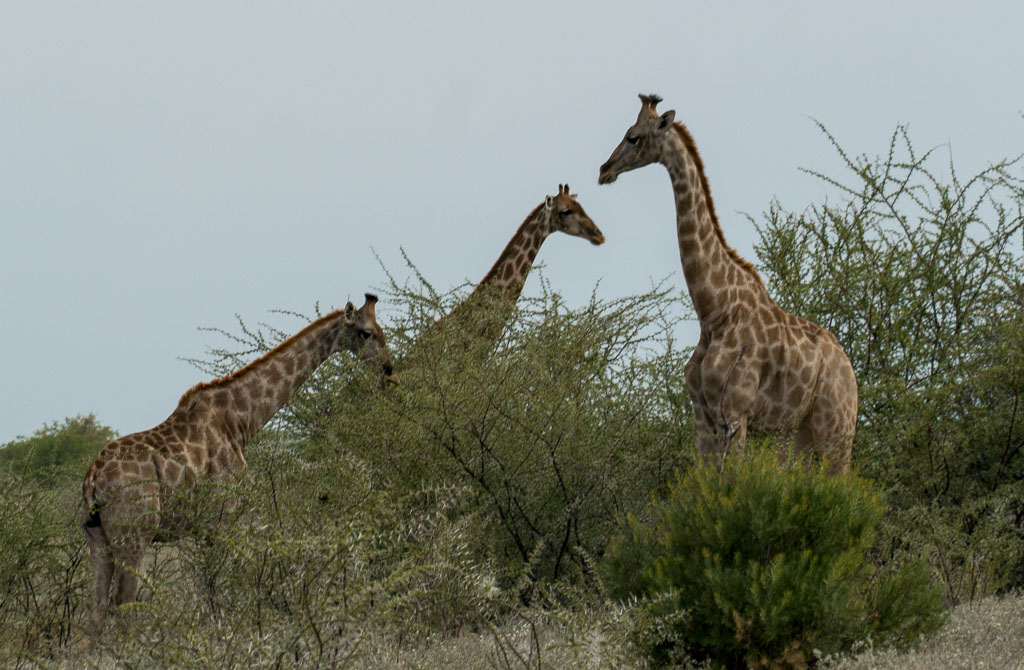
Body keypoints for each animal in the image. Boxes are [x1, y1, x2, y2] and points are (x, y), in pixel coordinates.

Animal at [80, 295, 395, 639]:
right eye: (366, 333)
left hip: (97, 537)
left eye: (382, 330)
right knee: (121, 605)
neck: (241, 422)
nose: (389, 373)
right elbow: (223, 592)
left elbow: (210, 593)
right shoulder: (225, 519)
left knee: (96, 611)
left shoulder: (207, 528)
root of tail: (93, 477)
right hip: (135, 535)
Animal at [598, 94, 860, 475]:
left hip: (836, 429)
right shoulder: (702, 413)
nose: (604, 170)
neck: (712, 310)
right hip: (799, 430)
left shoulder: (736, 412)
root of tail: (852, 373)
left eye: (633, 137)